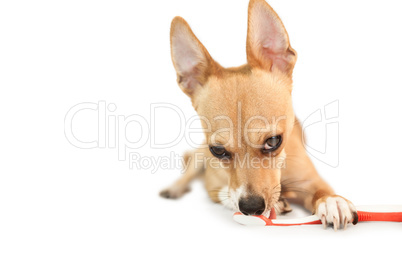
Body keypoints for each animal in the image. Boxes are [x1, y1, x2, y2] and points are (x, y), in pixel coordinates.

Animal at [160, 0, 358, 230]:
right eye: (218, 151)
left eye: (273, 141)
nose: (251, 207)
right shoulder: (213, 184)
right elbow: (227, 192)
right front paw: (276, 203)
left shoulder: (308, 180)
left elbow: (321, 190)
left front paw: (332, 201)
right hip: (199, 156)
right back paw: (174, 188)